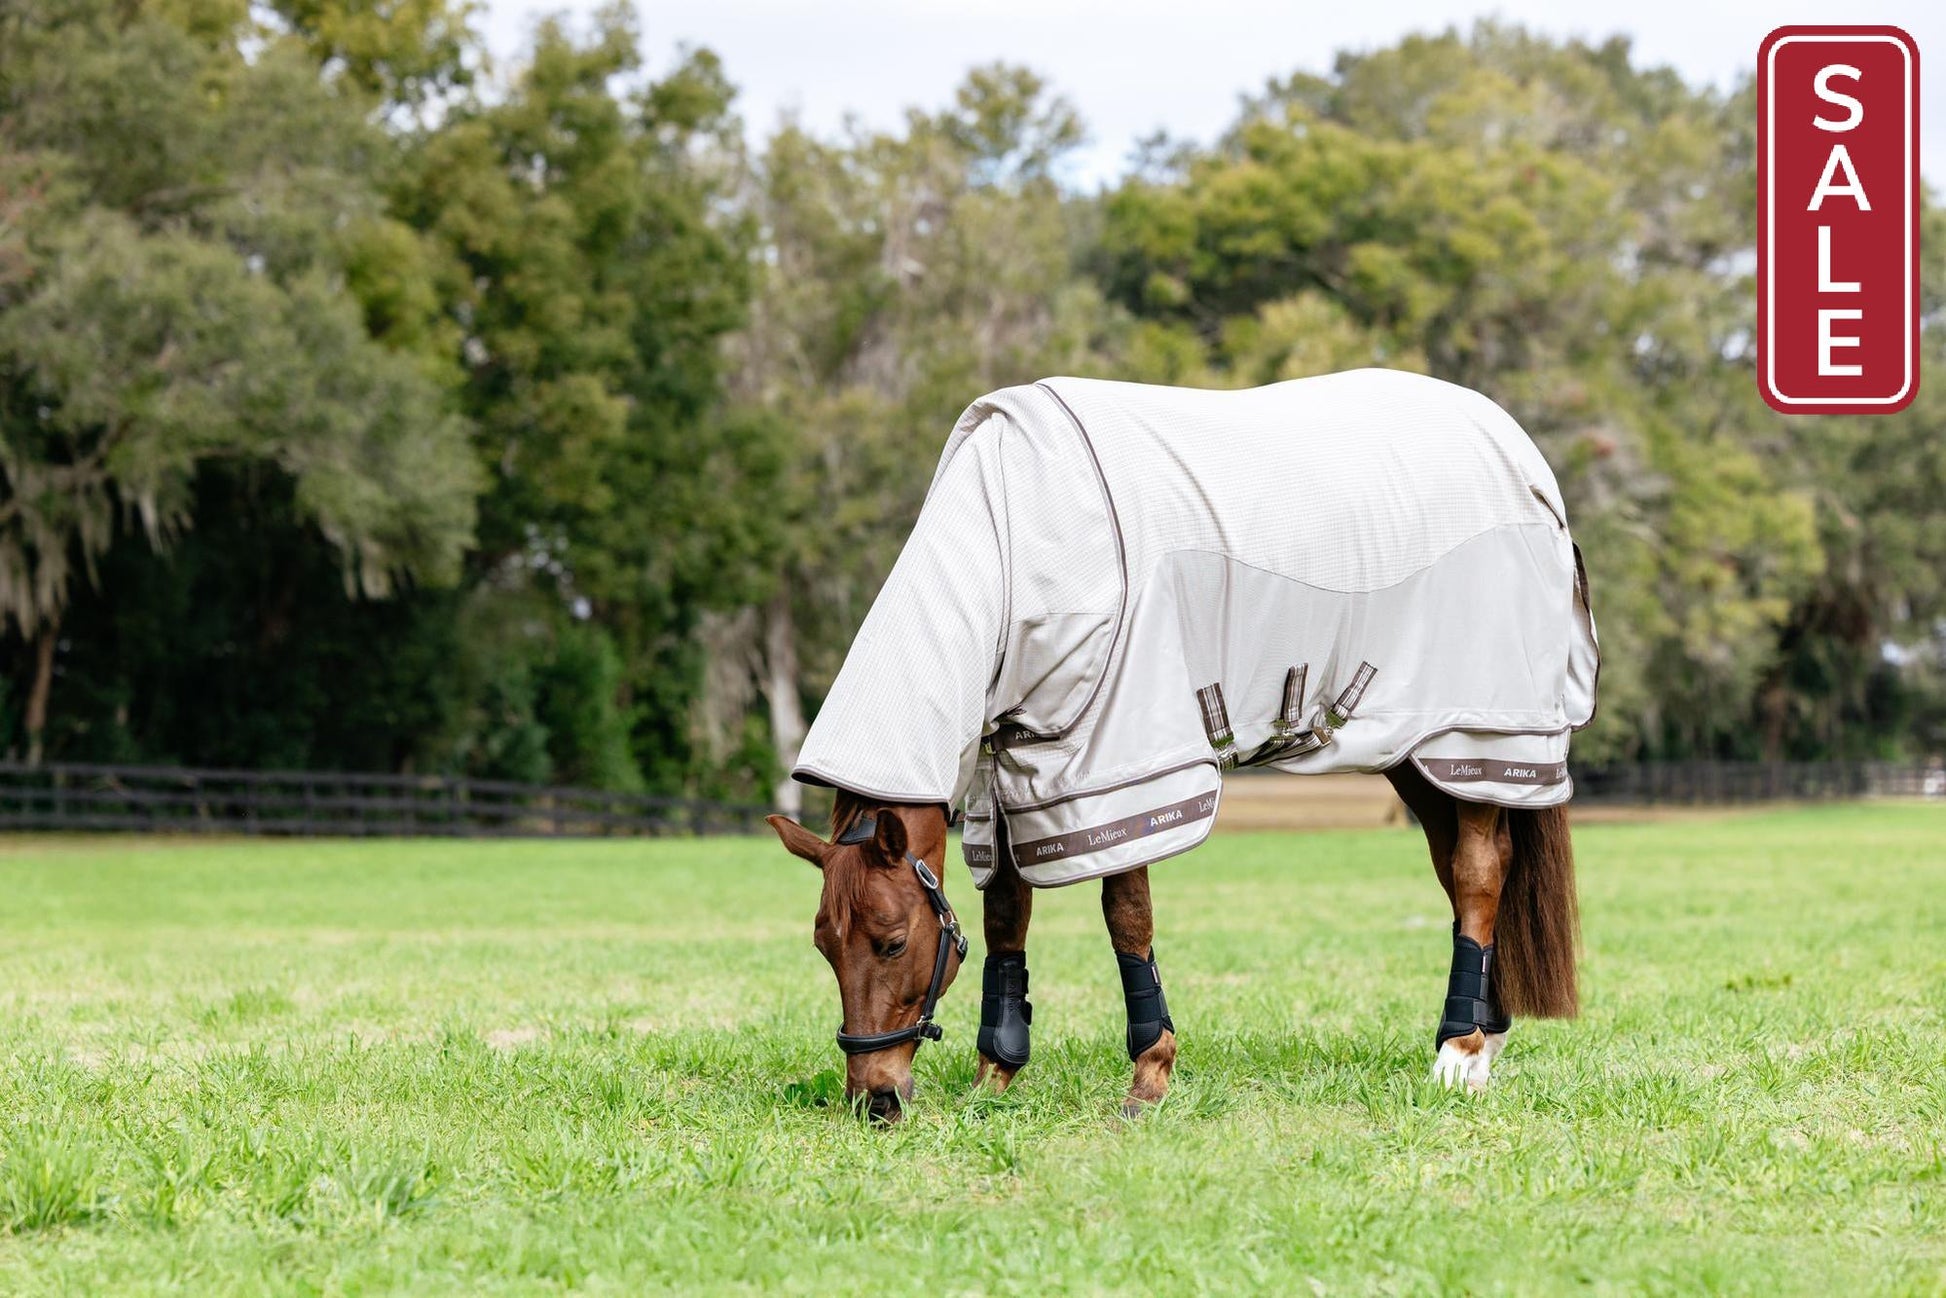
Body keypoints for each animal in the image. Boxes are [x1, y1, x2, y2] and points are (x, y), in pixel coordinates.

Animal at [767, 369, 1597, 1120]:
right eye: (822, 945)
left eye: (892, 942)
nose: (874, 1100)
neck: (1021, 531)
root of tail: (1523, 460)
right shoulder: (1003, 781)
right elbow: (1007, 914)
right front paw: (994, 1077)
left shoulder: (1120, 763)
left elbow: (1126, 914)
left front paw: (1149, 1076)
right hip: (1425, 756)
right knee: (1459, 871)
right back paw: (1483, 1043)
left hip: (1482, 732)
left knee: (1480, 872)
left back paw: (1457, 1052)